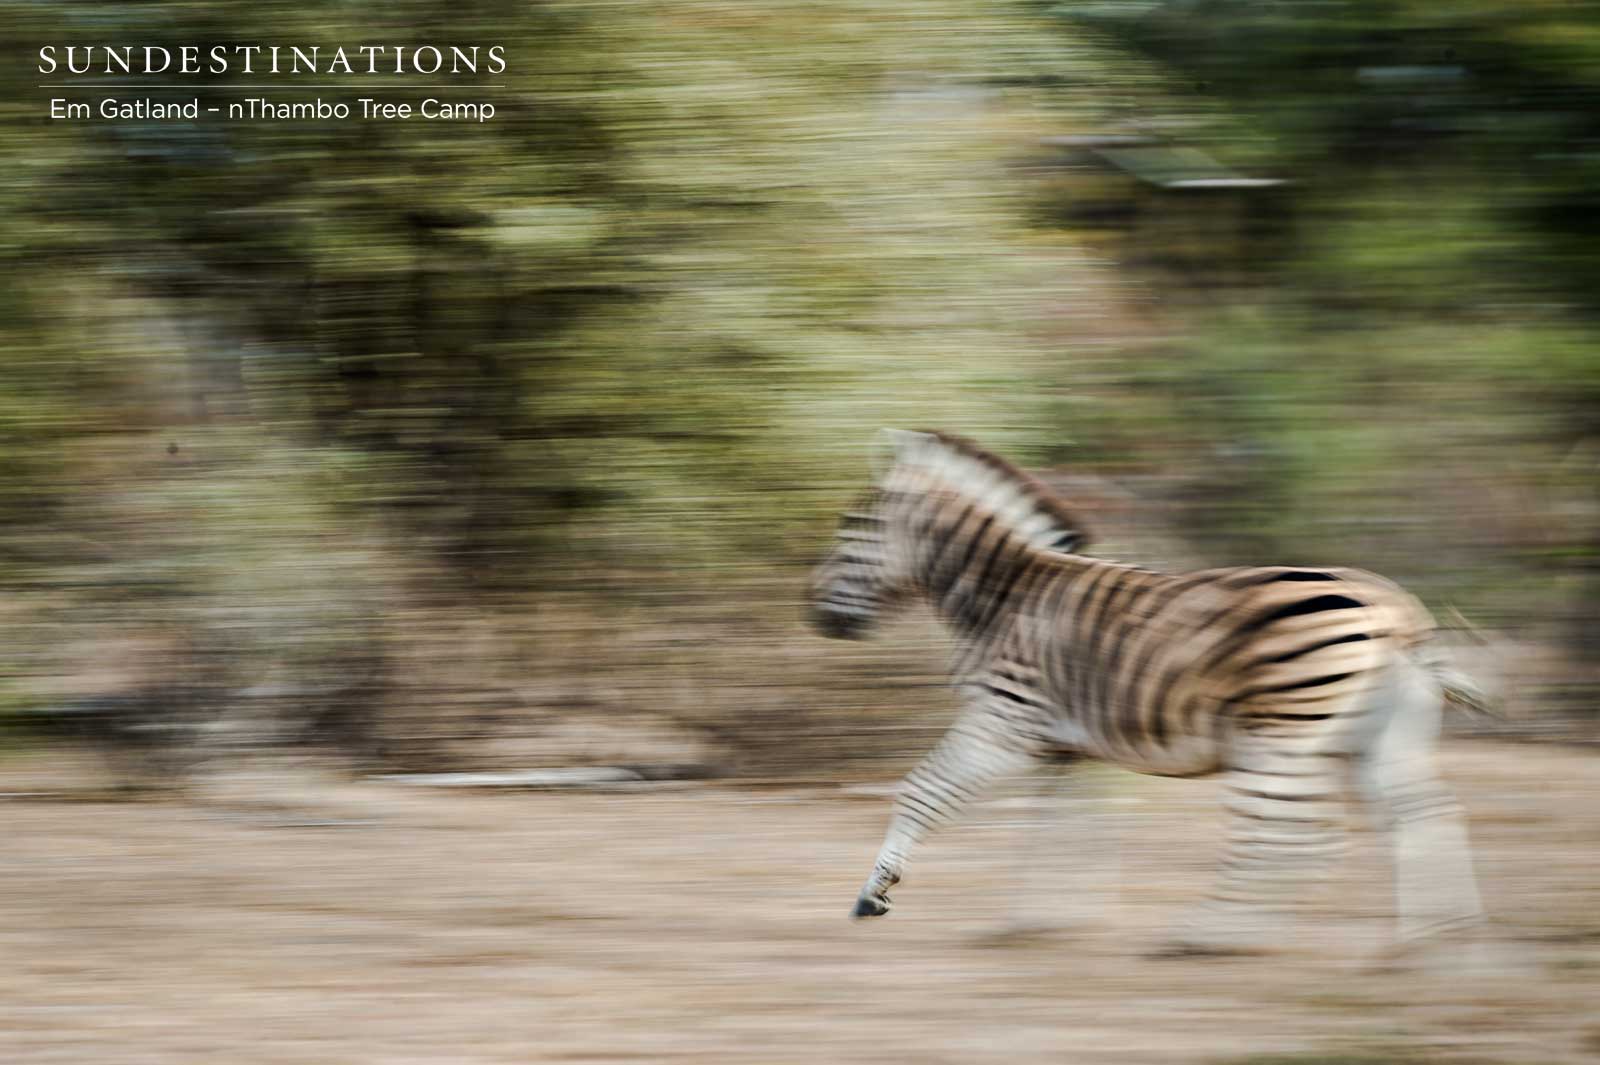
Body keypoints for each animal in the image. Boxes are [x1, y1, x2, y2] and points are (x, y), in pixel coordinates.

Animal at [810, 429, 1485, 954]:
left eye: (851, 528)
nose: (811, 613)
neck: (1003, 597)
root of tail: (1391, 604)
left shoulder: (1003, 722)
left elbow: (922, 791)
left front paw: (874, 895)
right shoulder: (1064, 749)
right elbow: (1065, 831)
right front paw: (1040, 919)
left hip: (1279, 734)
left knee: (1295, 833)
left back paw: (1211, 934)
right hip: (1376, 735)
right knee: (1420, 814)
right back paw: (1437, 939)